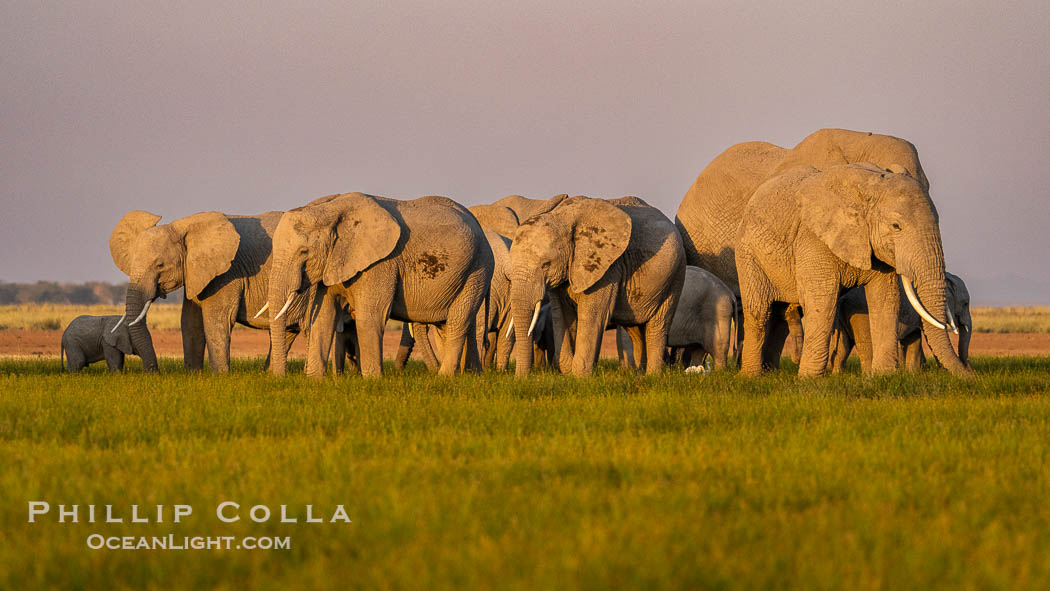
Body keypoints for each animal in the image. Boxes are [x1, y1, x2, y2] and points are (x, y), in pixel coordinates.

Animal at [109, 209, 319, 371]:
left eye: (160, 265)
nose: (153, 371)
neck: (183, 227)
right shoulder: (195, 273)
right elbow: (190, 322)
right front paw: (193, 375)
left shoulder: (227, 273)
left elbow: (217, 320)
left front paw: (220, 376)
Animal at [262, 194, 491, 380]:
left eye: (303, 252)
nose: (280, 378)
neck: (330, 210)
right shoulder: (333, 261)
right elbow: (324, 316)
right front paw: (315, 381)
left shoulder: (380, 264)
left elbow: (370, 316)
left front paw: (372, 380)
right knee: (457, 323)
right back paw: (472, 375)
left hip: (478, 269)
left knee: (457, 322)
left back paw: (444, 378)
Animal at [510, 196, 688, 377]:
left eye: (546, 264)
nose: (521, 379)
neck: (563, 217)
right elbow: (561, 315)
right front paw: (568, 373)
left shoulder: (608, 268)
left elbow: (592, 315)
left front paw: (579, 377)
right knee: (636, 329)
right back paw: (639, 374)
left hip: (675, 275)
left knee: (657, 325)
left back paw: (652, 375)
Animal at [734, 163, 970, 377]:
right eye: (896, 226)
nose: (971, 376)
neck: (869, 187)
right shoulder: (813, 238)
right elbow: (822, 299)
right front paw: (809, 379)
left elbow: (885, 298)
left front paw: (885, 376)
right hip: (747, 253)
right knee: (759, 310)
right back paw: (750, 376)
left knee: (779, 315)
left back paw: (770, 373)